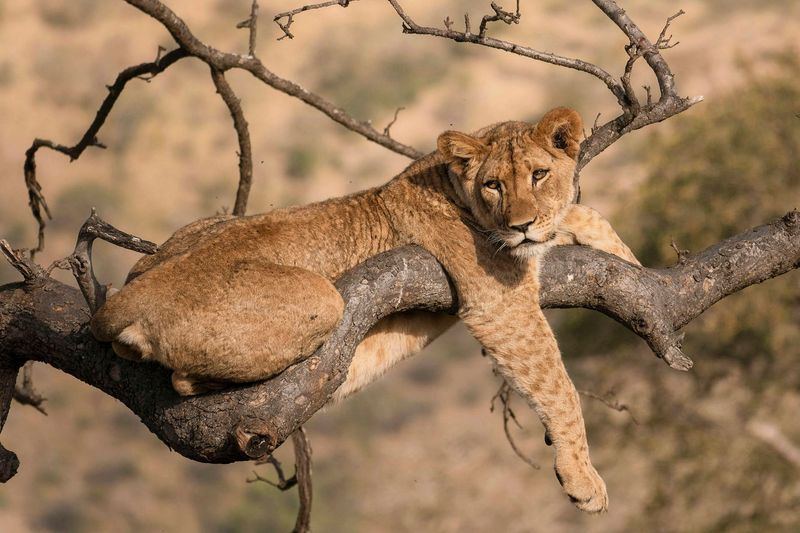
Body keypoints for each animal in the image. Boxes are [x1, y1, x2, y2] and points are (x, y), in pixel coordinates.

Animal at [90, 107, 639, 513]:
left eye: (539, 174)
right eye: (494, 185)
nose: (521, 224)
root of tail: (129, 294)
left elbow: (588, 214)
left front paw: (632, 263)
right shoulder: (499, 300)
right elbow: (559, 387)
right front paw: (583, 478)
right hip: (323, 299)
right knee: (182, 380)